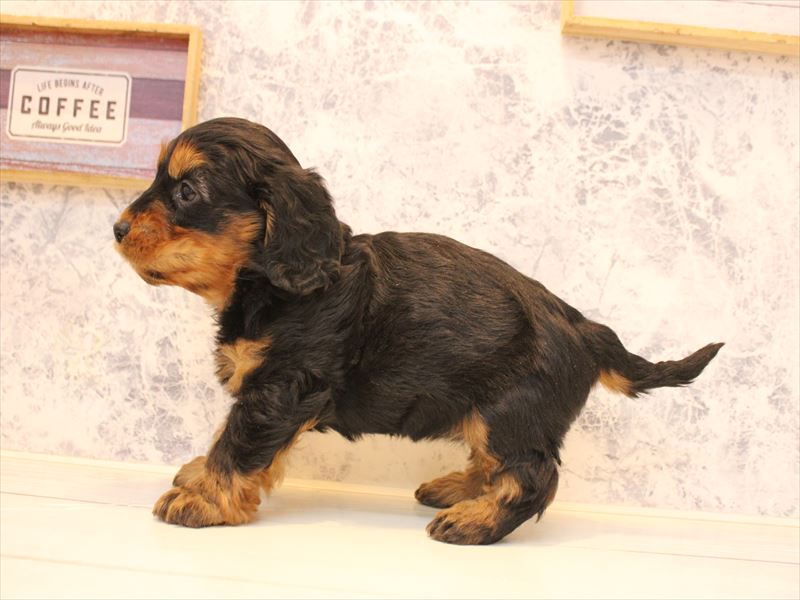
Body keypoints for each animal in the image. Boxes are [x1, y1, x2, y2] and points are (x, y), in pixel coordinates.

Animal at [114, 117, 722, 545]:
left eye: (187, 191)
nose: (117, 228)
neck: (274, 284)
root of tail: (583, 327)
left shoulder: (284, 385)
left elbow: (239, 443)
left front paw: (205, 501)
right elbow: (230, 437)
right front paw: (199, 477)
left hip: (511, 412)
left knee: (532, 476)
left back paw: (476, 522)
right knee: (496, 463)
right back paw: (458, 490)